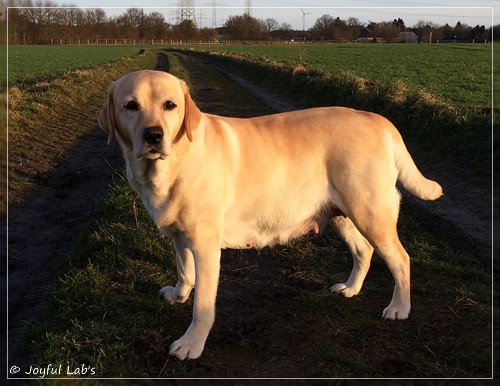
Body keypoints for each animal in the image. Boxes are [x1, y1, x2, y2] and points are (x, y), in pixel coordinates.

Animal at [97, 68, 442, 358]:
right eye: (131, 106)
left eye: (170, 105)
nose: (154, 135)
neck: (171, 165)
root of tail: (377, 119)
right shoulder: (180, 236)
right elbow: (184, 269)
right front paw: (178, 294)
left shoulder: (206, 246)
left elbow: (202, 306)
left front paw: (191, 344)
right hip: (342, 214)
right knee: (364, 250)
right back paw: (351, 288)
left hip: (370, 212)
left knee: (400, 259)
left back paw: (399, 308)